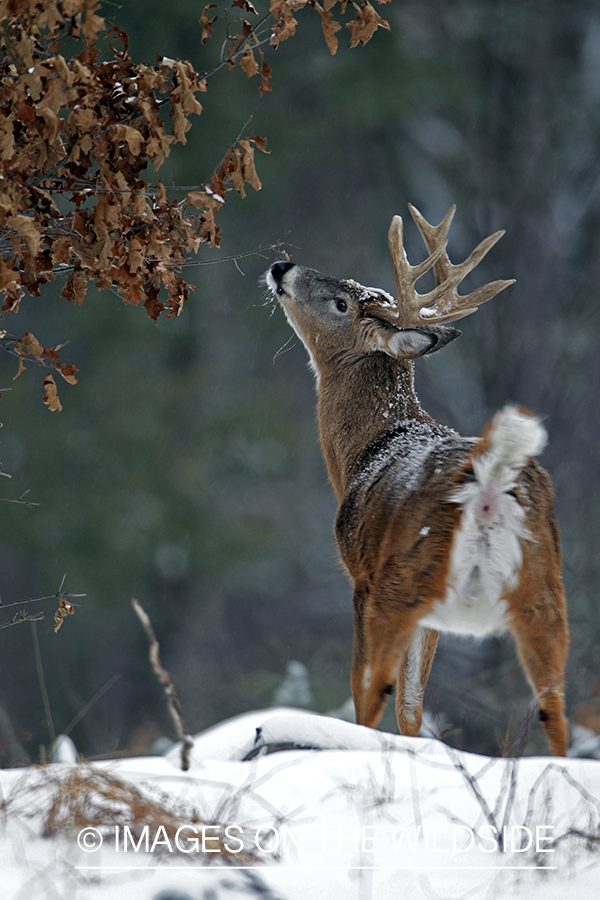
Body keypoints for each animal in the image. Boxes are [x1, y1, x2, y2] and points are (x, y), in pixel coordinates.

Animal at [268, 204, 568, 752]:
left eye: (342, 302)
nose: (281, 267)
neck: (369, 447)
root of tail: (489, 485)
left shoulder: (361, 577)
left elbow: (375, 689)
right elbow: (412, 708)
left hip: (400, 581)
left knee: (369, 692)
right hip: (543, 589)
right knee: (554, 709)